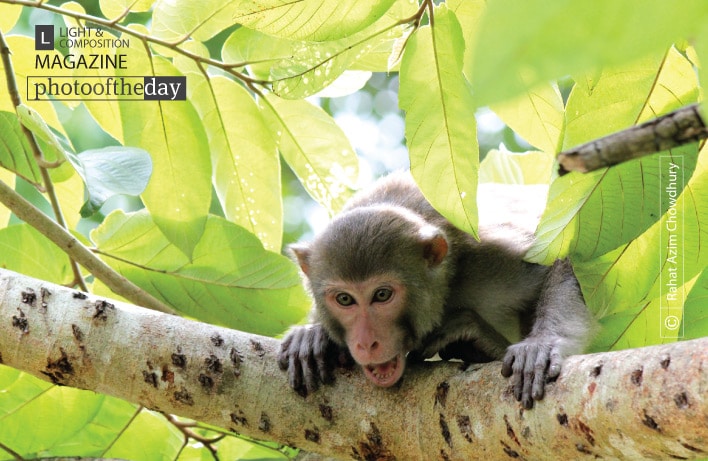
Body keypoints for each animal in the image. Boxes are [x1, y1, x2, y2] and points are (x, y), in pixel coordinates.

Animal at [278, 172, 595, 409]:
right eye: (345, 299)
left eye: (382, 295)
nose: (367, 343)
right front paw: (311, 335)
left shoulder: (489, 257)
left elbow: (563, 258)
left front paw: (541, 343)